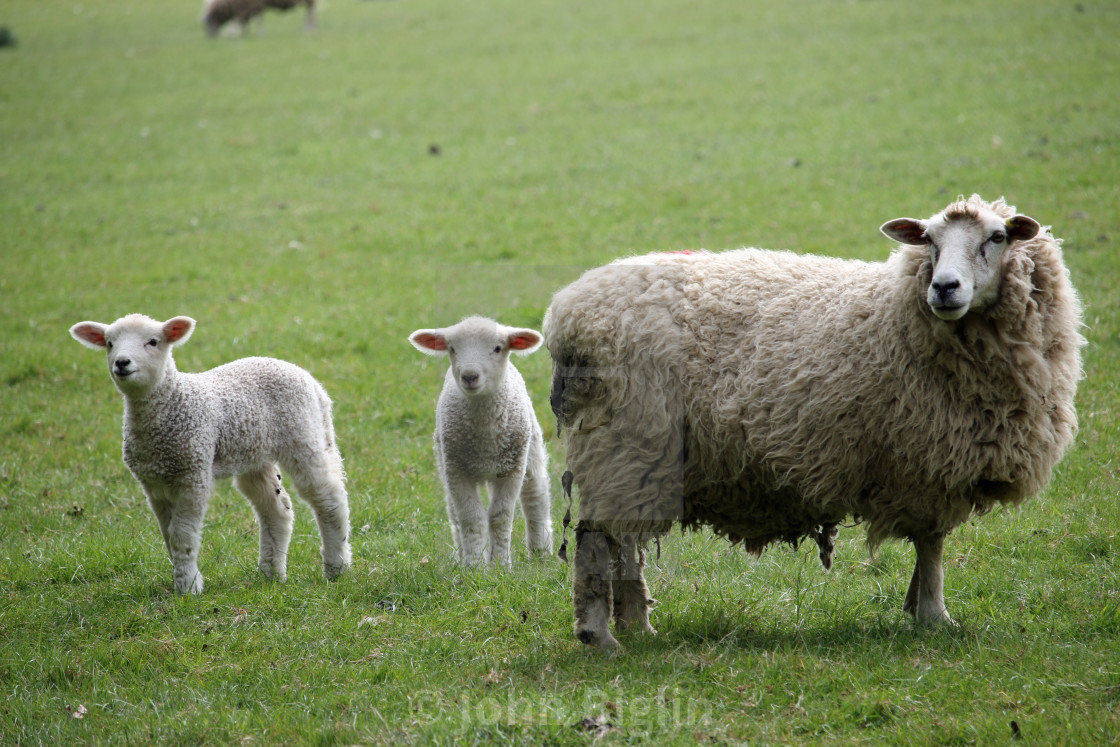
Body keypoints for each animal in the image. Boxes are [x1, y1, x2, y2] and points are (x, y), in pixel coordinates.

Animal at [70, 315, 349, 595]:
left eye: (153, 342)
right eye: (109, 343)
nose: (122, 362)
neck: (173, 402)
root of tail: (310, 380)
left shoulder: (193, 474)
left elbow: (181, 535)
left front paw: (188, 588)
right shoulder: (153, 485)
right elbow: (167, 535)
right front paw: (182, 580)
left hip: (304, 436)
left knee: (329, 498)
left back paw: (337, 568)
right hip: (254, 454)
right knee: (276, 508)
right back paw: (271, 573)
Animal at [409, 315, 553, 566]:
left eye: (497, 348)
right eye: (452, 348)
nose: (469, 376)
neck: (486, 438)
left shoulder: (512, 471)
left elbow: (500, 517)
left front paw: (500, 565)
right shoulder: (456, 471)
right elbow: (471, 518)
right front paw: (474, 565)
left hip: (530, 449)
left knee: (536, 497)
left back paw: (541, 553)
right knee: (454, 514)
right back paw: (461, 555)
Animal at [542, 194, 1084, 649]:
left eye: (998, 237)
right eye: (930, 240)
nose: (943, 288)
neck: (897, 314)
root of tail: (565, 313)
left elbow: (927, 547)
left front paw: (916, 607)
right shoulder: (927, 462)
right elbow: (932, 545)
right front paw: (934, 616)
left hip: (640, 459)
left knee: (625, 541)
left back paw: (638, 625)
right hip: (621, 443)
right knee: (597, 541)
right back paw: (600, 637)